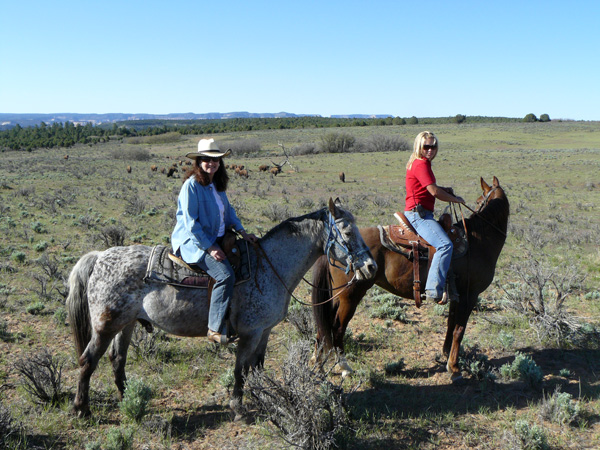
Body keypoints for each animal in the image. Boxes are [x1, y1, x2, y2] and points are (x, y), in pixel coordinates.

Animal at [65, 199, 376, 416]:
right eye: (347, 232)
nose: (371, 267)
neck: (269, 266)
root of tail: (99, 257)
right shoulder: (249, 333)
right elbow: (240, 369)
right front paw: (238, 407)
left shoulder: (264, 331)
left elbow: (256, 368)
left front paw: (262, 396)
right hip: (105, 326)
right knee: (88, 360)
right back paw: (81, 409)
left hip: (126, 324)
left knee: (117, 360)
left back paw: (127, 398)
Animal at [312, 176, 508, 380]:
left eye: (478, 201)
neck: (478, 241)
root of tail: (332, 245)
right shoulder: (470, 295)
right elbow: (459, 330)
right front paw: (454, 368)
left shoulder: (457, 295)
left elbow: (450, 324)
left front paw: (446, 354)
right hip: (350, 296)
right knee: (337, 328)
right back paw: (343, 367)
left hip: (335, 296)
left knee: (322, 328)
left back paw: (317, 366)